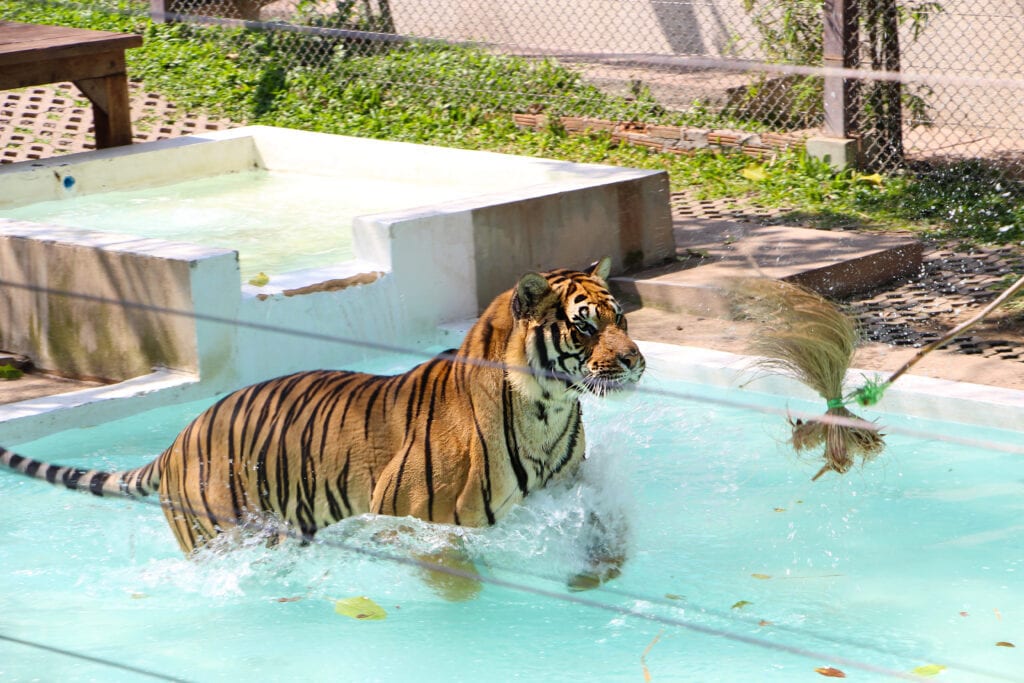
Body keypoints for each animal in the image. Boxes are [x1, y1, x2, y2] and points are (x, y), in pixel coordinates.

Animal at [0, 257, 644, 580]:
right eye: (585, 326)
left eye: (621, 318)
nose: (637, 362)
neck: (547, 409)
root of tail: (175, 442)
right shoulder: (414, 517)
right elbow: (446, 565)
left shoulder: (572, 489)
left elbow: (603, 529)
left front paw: (604, 571)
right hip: (220, 535)